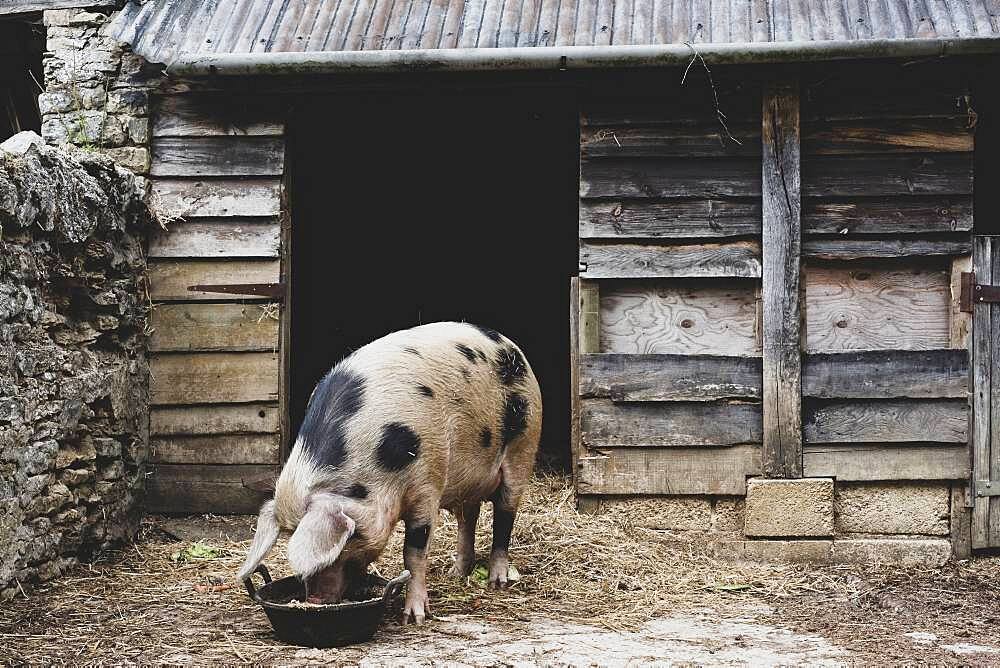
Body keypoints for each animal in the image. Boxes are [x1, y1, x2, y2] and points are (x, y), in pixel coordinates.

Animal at [238, 320, 544, 624]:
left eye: (347, 539)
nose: (313, 600)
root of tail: (509, 344)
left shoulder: (427, 483)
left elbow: (413, 553)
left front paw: (414, 618)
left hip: (523, 446)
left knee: (504, 517)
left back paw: (497, 581)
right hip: (467, 481)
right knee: (468, 518)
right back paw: (456, 573)